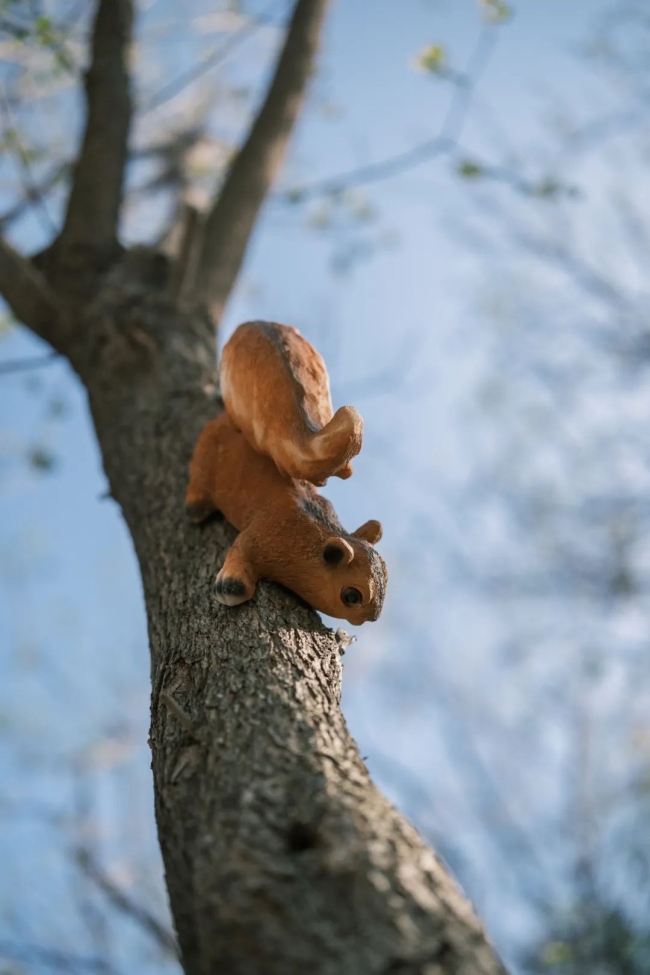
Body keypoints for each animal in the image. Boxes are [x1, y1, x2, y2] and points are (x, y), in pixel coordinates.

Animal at [182, 320, 384, 624]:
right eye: (351, 595)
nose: (371, 618)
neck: (310, 531)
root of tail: (222, 419)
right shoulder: (260, 534)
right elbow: (239, 551)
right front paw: (230, 587)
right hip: (203, 464)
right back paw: (195, 508)